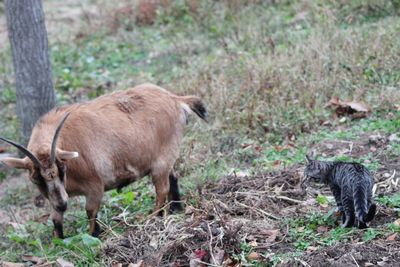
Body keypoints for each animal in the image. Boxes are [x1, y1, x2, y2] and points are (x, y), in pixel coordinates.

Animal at [0, 83, 206, 239]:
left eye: (62, 168)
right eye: (36, 178)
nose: (63, 204)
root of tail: (176, 99)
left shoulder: (94, 185)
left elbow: (90, 211)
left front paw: (94, 235)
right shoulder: (55, 195)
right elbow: (55, 218)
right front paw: (59, 241)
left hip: (161, 161)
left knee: (161, 189)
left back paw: (154, 217)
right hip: (167, 156)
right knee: (174, 176)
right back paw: (176, 208)